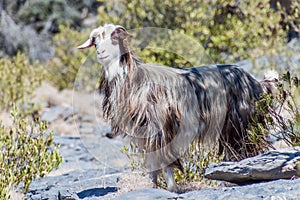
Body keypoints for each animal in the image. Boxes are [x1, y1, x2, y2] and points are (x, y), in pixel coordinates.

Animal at [78, 23, 268, 192]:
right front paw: (153, 186)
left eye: (114, 37)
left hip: (240, 123)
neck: (135, 79)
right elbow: (152, 162)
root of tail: (254, 81)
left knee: (245, 148)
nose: (101, 53)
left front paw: (172, 188)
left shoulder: (162, 129)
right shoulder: (143, 134)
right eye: (95, 41)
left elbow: (165, 161)